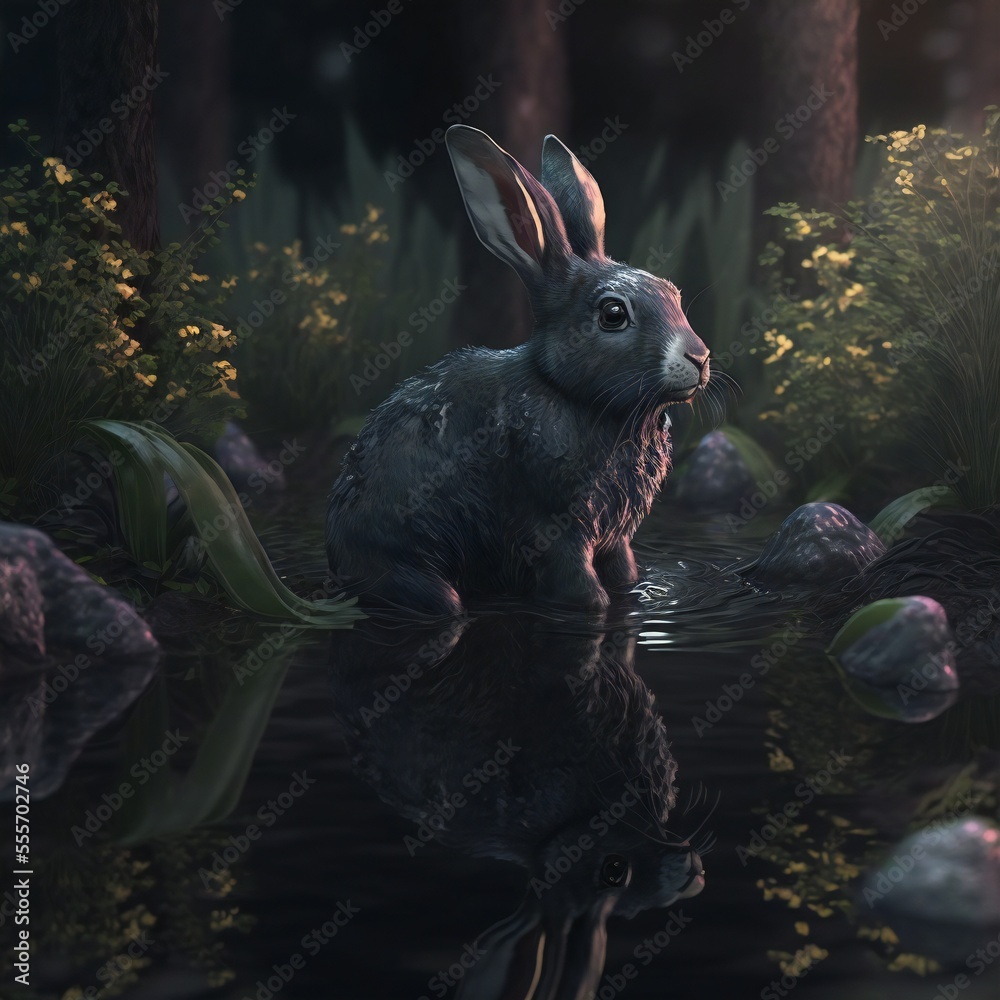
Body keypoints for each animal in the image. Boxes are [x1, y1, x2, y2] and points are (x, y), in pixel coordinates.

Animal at [325, 125, 710, 617]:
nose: (699, 357)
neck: (577, 397)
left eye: (673, 293)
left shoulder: (615, 537)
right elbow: (575, 580)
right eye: (613, 314)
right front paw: (591, 604)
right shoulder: (552, 525)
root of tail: (338, 558)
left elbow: (624, 570)